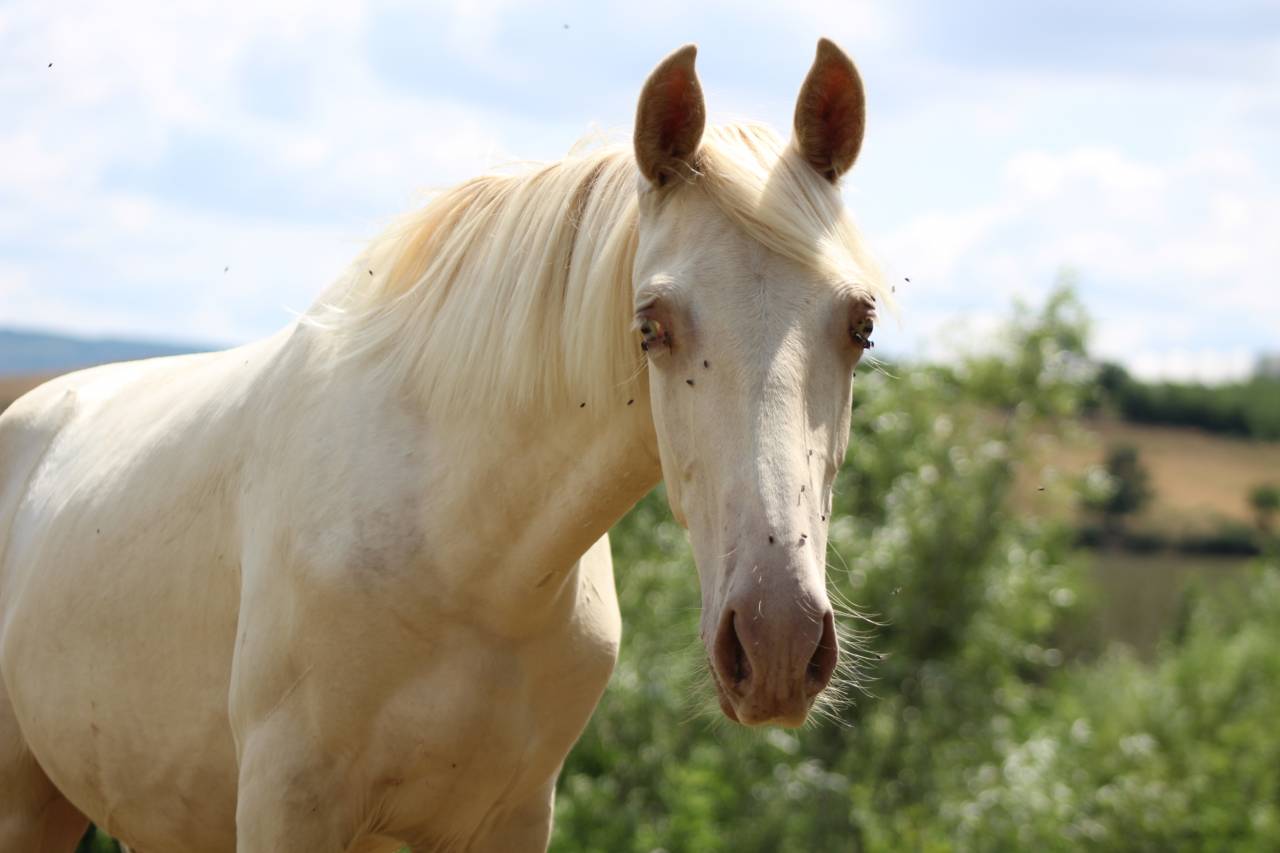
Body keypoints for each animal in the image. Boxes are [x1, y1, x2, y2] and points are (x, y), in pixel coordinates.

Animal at [0, 38, 884, 852]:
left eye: (862, 324)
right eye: (651, 326)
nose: (776, 641)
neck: (466, 560)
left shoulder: (514, 814)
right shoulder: (287, 802)